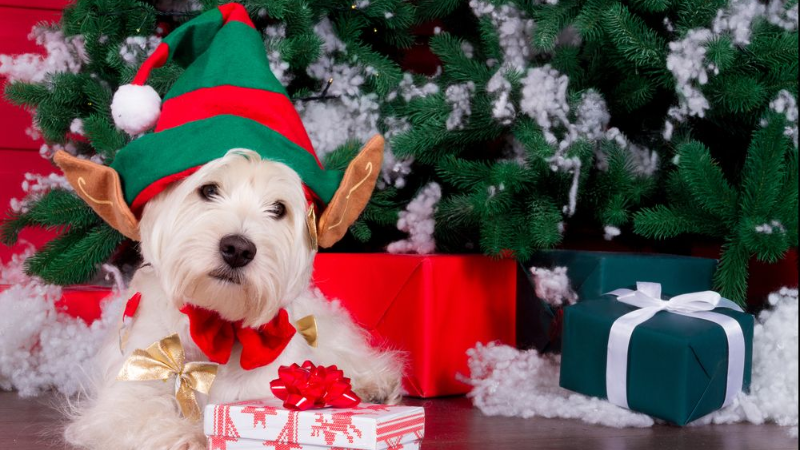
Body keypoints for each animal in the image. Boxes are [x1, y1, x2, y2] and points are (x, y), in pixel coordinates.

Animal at [66, 150, 406, 450]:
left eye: (278, 208)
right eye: (209, 190)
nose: (239, 249)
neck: (217, 324)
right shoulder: (133, 383)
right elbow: (141, 414)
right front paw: (185, 437)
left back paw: (374, 384)